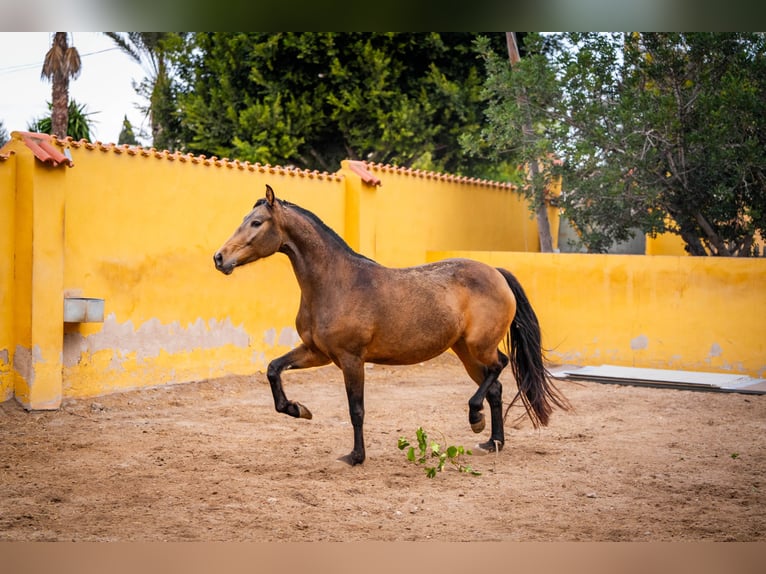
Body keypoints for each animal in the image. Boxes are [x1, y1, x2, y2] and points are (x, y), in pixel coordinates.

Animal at [216, 187, 568, 466]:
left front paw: (355, 457)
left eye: (256, 223)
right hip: (464, 351)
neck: (336, 282)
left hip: (479, 347)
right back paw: (491, 440)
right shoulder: (317, 352)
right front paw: (298, 409)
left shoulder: (351, 359)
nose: (220, 258)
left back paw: (475, 418)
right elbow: (274, 369)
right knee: (493, 387)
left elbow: (356, 409)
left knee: (499, 367)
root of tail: (496, 272)